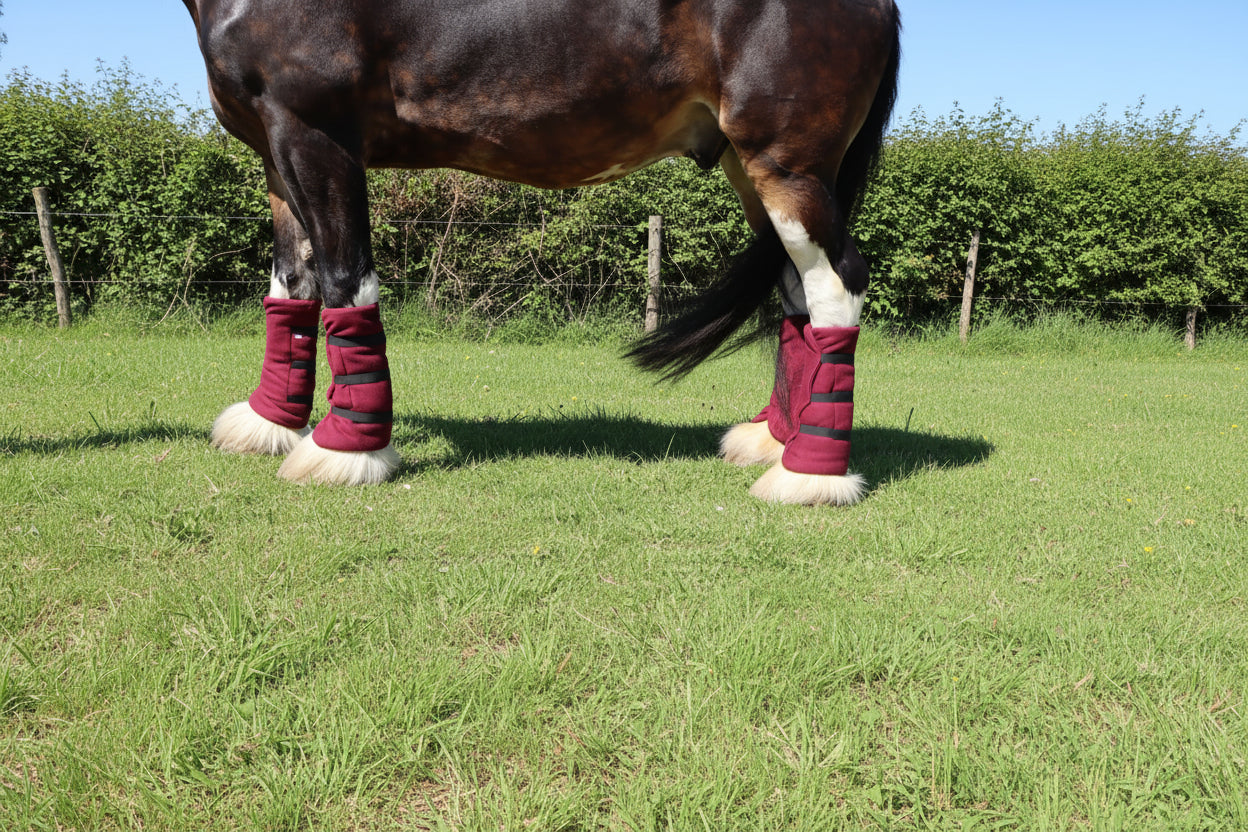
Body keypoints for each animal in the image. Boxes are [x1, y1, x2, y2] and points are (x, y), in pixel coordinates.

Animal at [180, 0, 901, 505]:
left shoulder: (315, 135)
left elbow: (342, 277)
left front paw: (346, 450)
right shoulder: (277, 151)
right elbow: (292, 280)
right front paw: (269, 421)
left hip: (789, 167)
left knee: (837, 283)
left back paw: (809, 475)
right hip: (755, 171)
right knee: (795, 290)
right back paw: (777, 440)